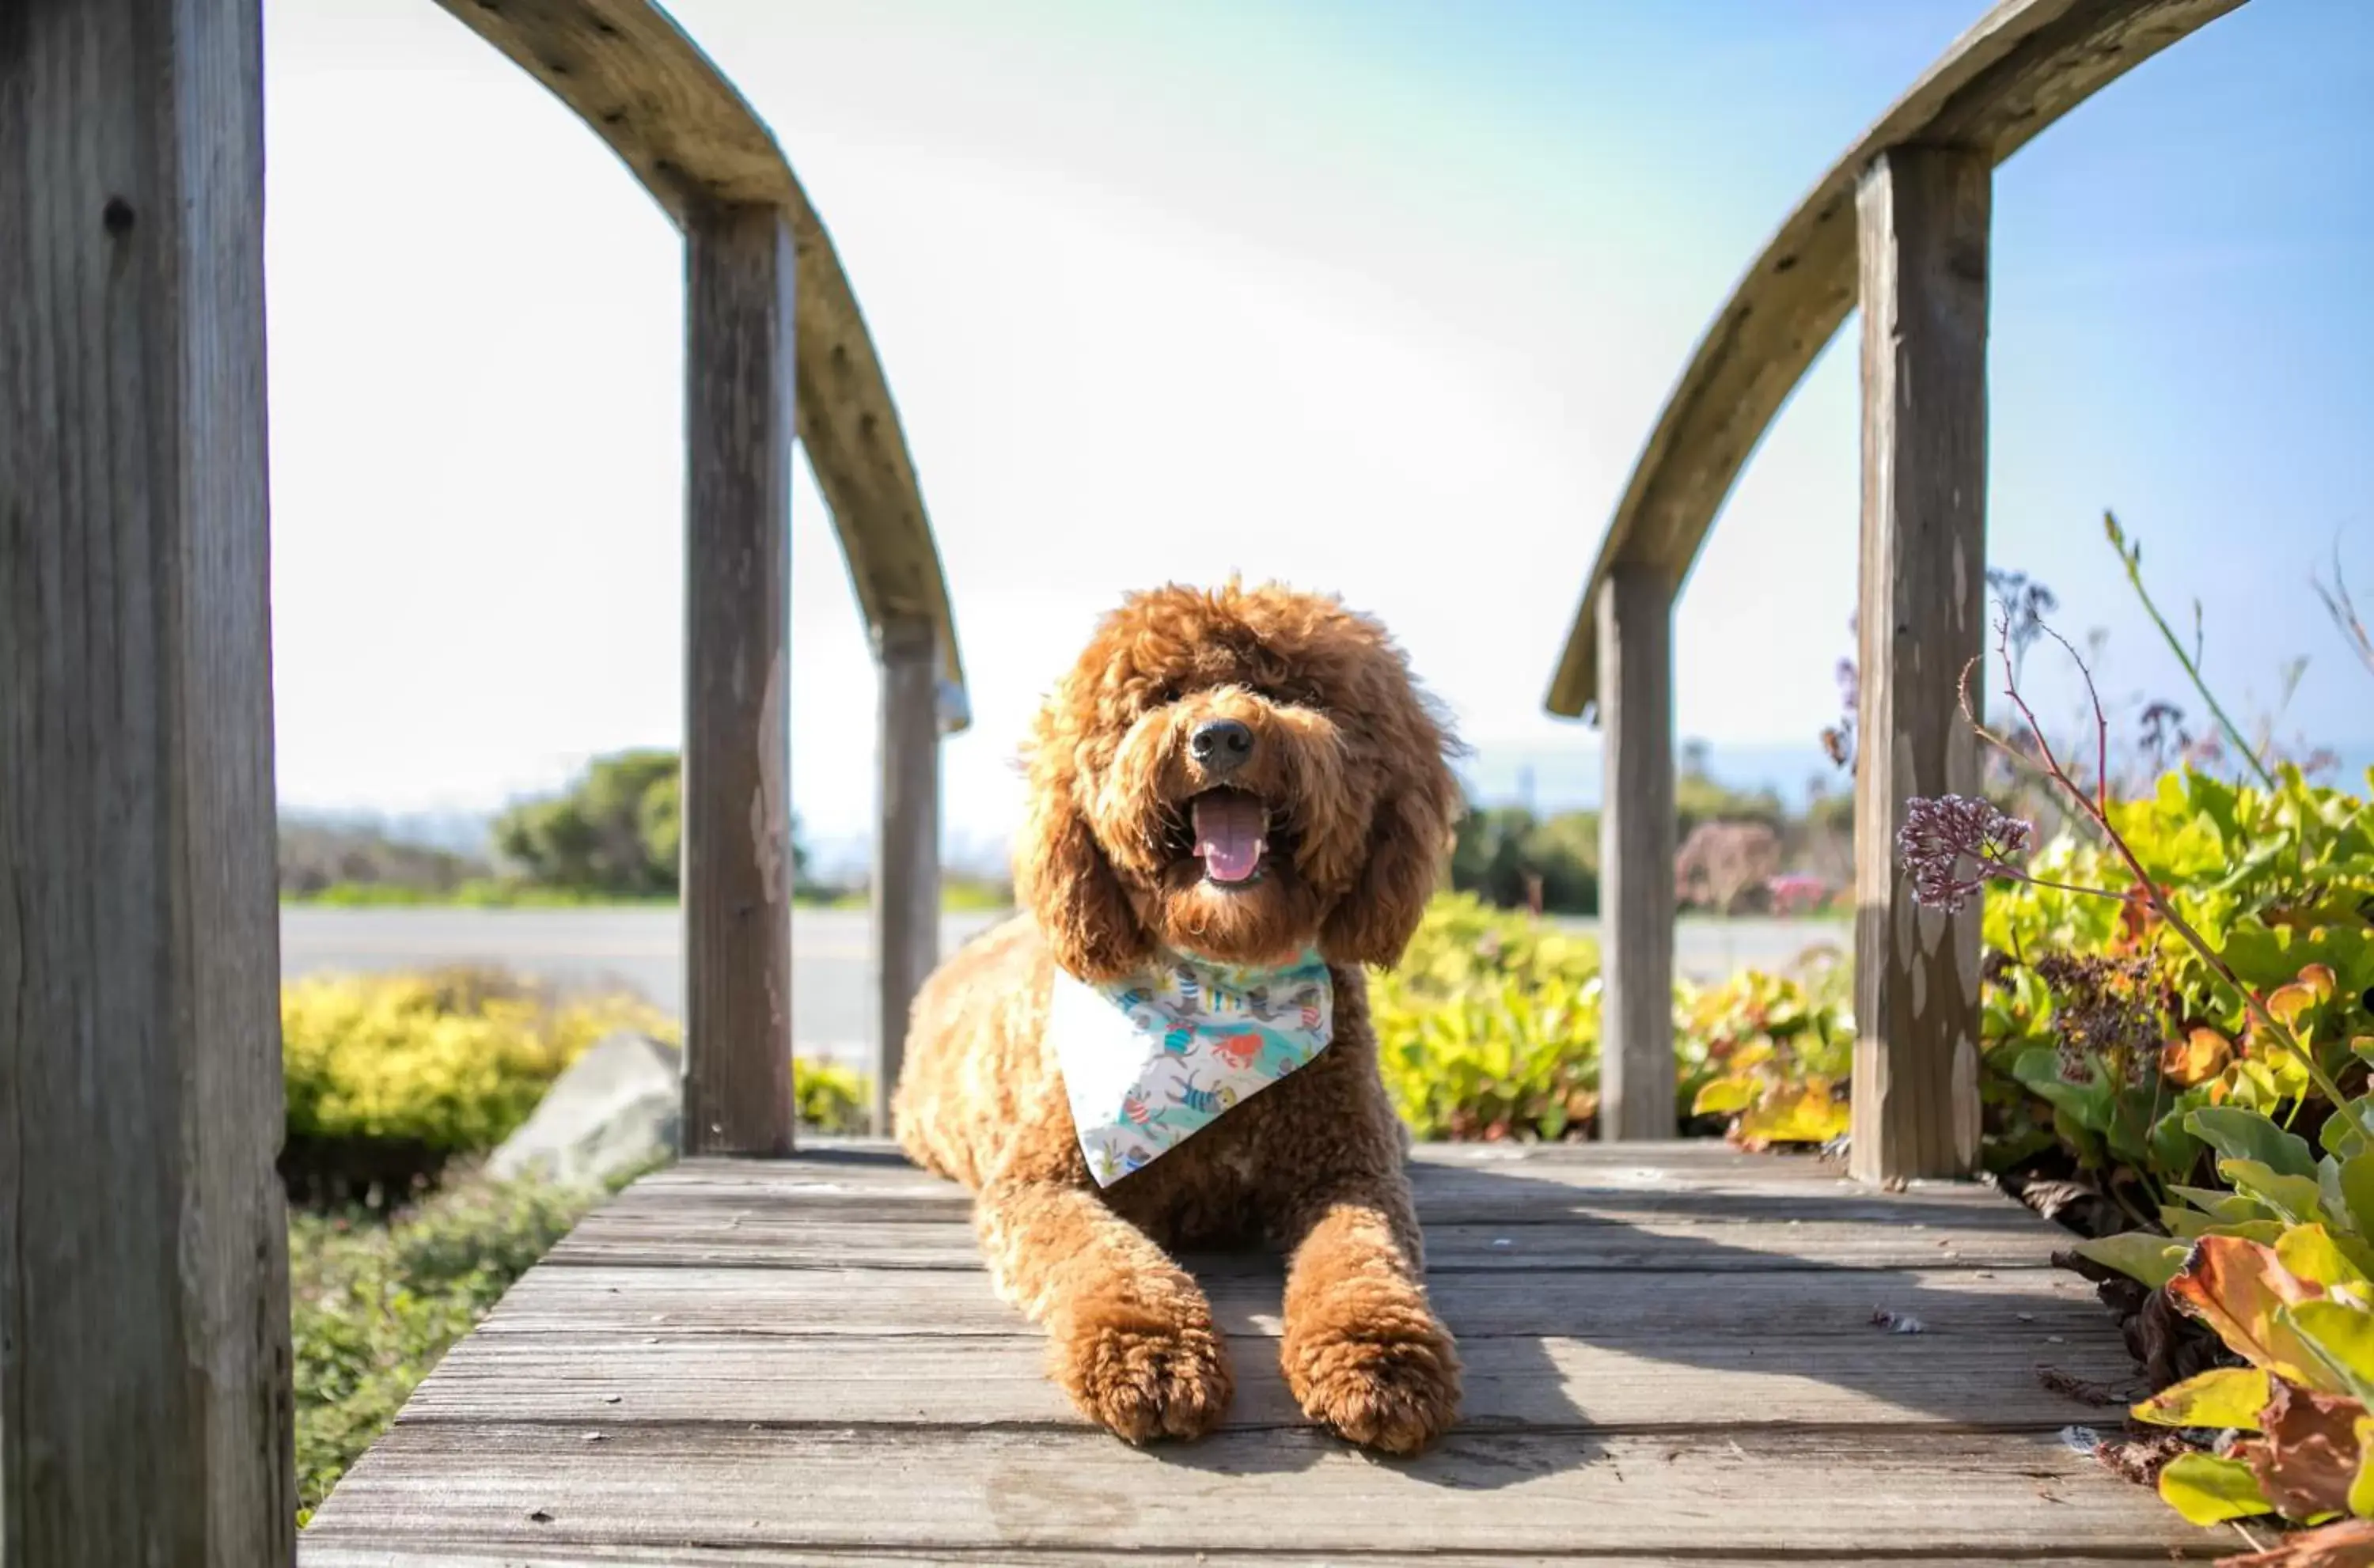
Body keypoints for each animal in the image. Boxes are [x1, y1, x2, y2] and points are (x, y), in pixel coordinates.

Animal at [888, 578, 1453, 1452]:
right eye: (1162, 696)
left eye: (1292, 692)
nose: (1221, 737)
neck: (1220, 981)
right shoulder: (1041, 1184)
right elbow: (1107, 1258)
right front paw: (1150, 1356)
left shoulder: (1349, 1170)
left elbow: (1359, 1258)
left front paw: (1378, 1357)